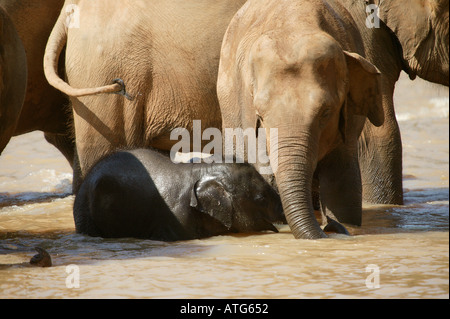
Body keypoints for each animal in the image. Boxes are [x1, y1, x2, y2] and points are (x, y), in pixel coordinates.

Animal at [216, 0, 384, 239]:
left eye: (326, 112)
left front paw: (343, 222)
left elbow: (342, 184)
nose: (329, 227)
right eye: (260, 117)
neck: (295, 24)